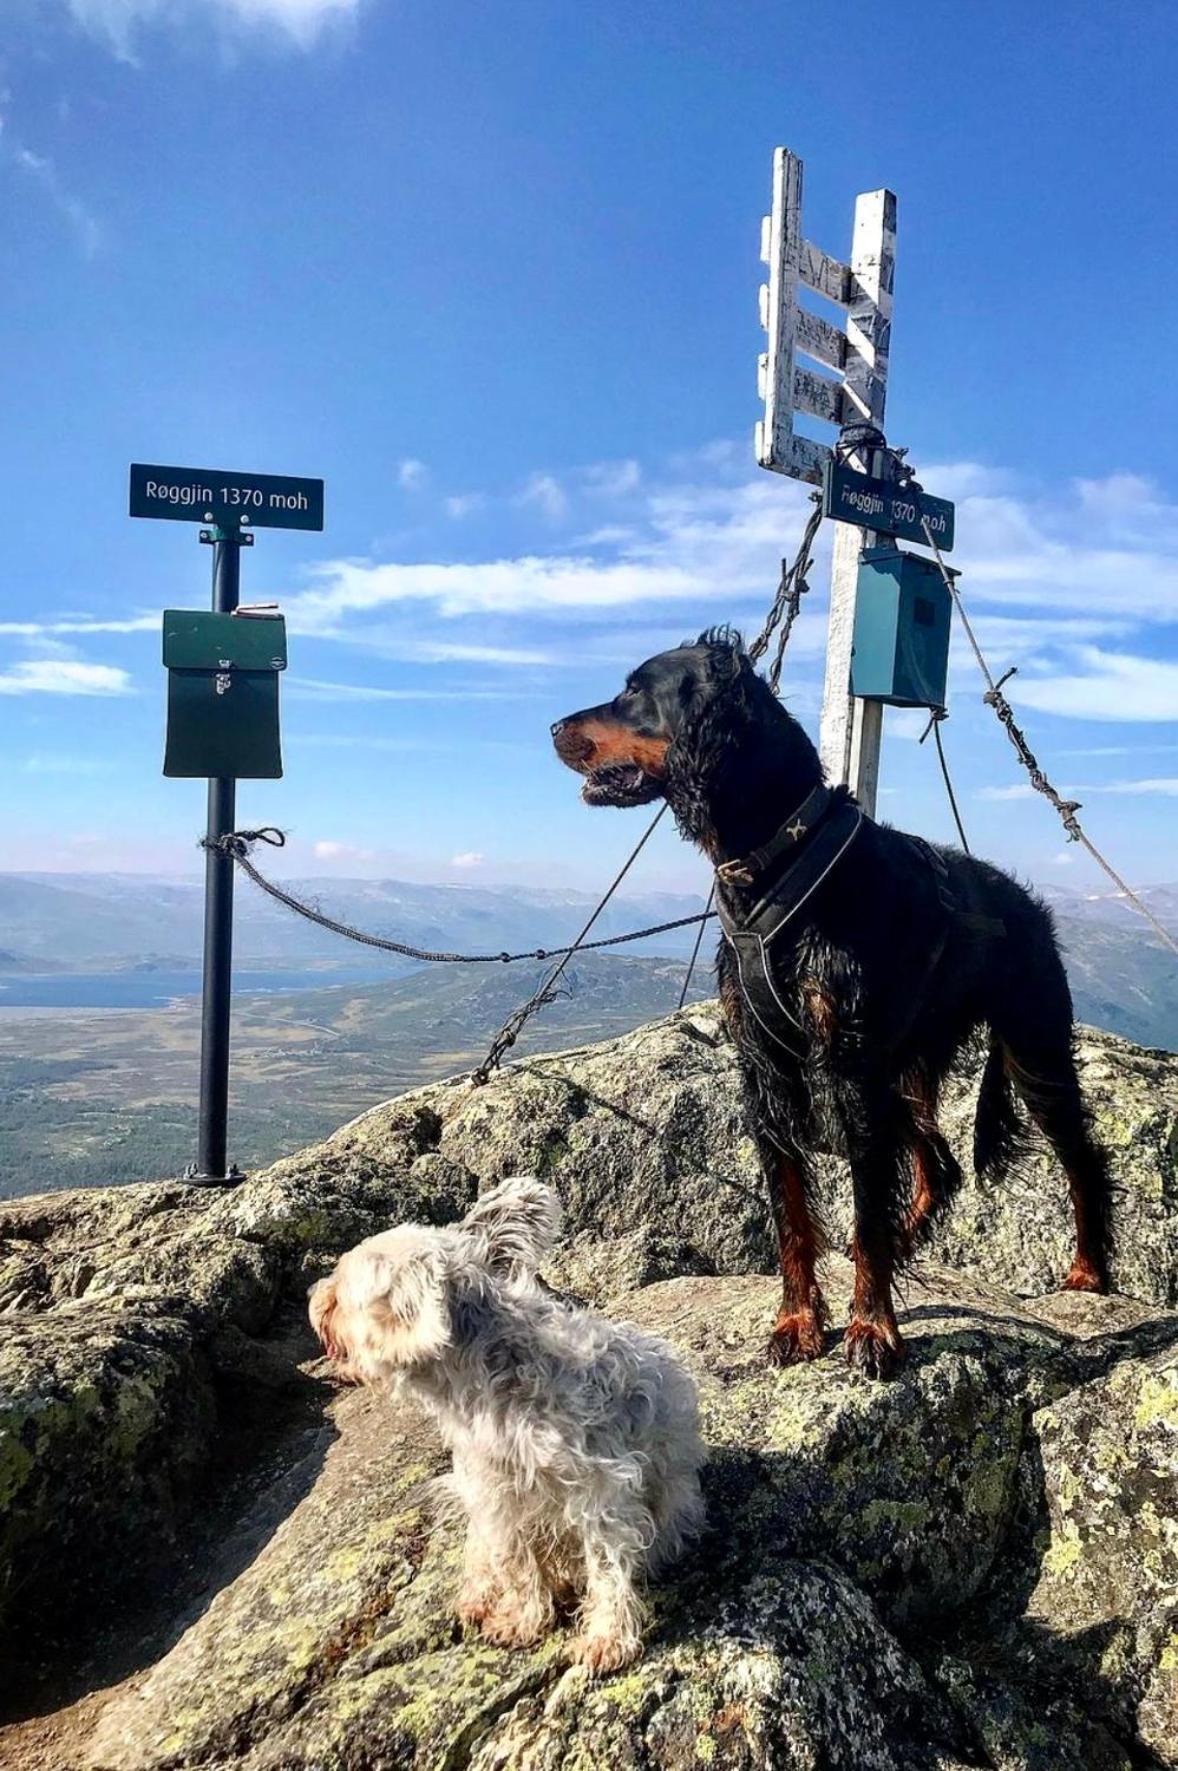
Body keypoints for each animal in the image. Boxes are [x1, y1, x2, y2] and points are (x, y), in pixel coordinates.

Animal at [308, 1175, 701, 1671]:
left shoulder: (600, 1488)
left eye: (342, 1295)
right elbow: (514, 1561)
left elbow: (607, 1561)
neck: (496, 1376)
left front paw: (607, 1638)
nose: (313, 1299)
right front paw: (524, 1619)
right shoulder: (494, 1492)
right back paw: (480, 1594)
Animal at [552, 630, 1112, 1374]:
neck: (777, 860)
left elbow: (865, 1207)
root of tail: (1028, 904)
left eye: (634, 692)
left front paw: (873, 1327)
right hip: (908, 1069)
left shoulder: (850, 1066)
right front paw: (798, 1320)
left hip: (1032, 1046)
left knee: (1080, 1156)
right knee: (939, 1162)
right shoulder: (765, 1067)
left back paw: (1089, 1269)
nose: (553, 727)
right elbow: (792, 1213)